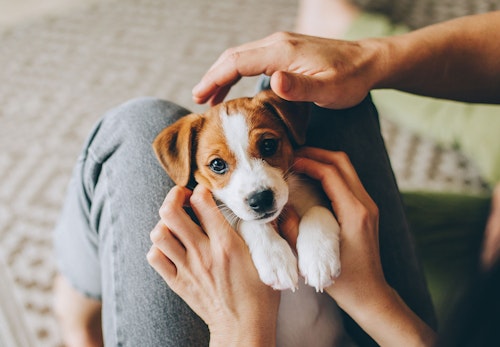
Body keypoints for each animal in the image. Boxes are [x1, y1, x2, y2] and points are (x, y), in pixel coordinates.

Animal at [154, 90, 350, 347]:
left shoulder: (320, 198)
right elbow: (247, 222)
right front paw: (275, 258)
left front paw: (319, 258)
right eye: (217, 164)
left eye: (268, 145)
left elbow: (318, 210)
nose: (261, 200)